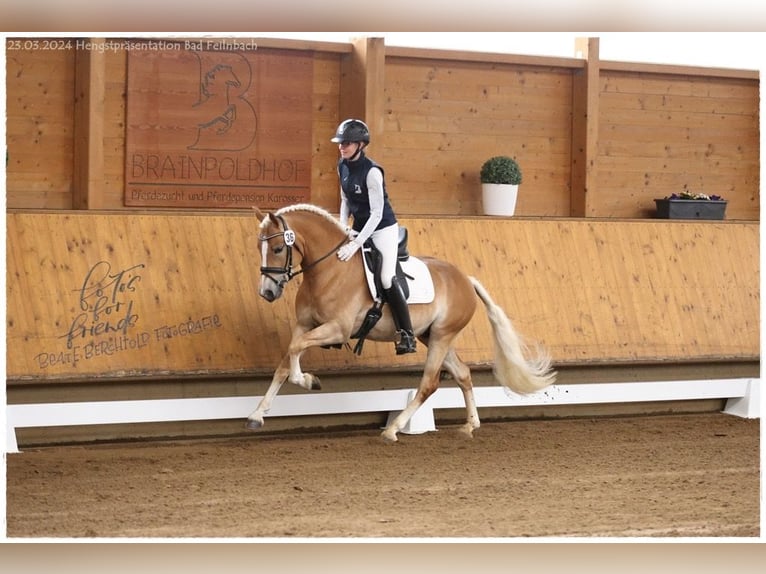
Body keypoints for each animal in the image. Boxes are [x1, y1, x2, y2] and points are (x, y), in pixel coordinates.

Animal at [249, 205, 556, 444]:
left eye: (278, 248)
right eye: (258, 248)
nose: (267, 292)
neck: (330, 271)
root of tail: (466, 279)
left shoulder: (337, 329)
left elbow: (295, 352)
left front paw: (308, 380)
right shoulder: (304, 325)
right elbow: (285, 361)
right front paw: (257, 415)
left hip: (441, 337)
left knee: (429, 383)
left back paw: (393, 430)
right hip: (432, 336)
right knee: (463, 374)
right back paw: (470, 425)